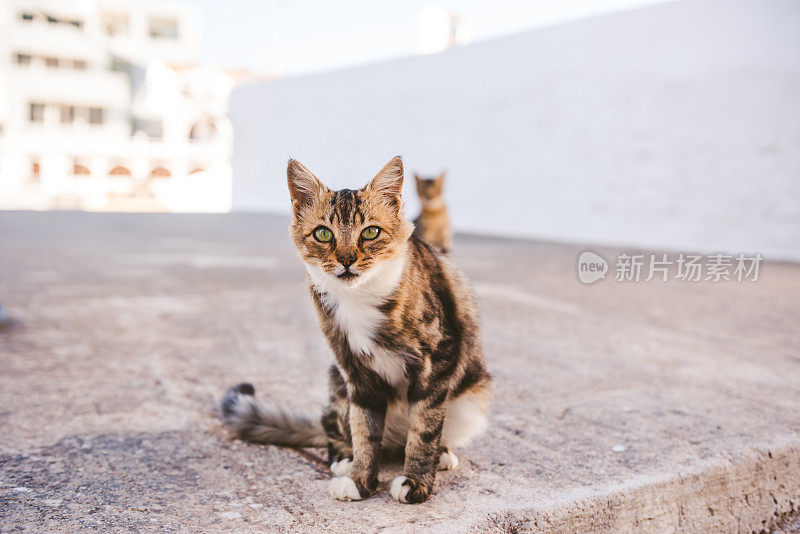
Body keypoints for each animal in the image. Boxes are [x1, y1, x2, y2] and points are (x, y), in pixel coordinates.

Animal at [222, 157, 490, 504]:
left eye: (371, 232)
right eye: (323, 234)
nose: (347, 259)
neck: (360, 297)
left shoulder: (438, 361)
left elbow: (424, 427)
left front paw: (416, 483)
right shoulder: (356, 372)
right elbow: (364, 429)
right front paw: (360, 479)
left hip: (469, 401)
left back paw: (439, 454)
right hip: (337, 380)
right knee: (332, 423)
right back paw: (343, 458)